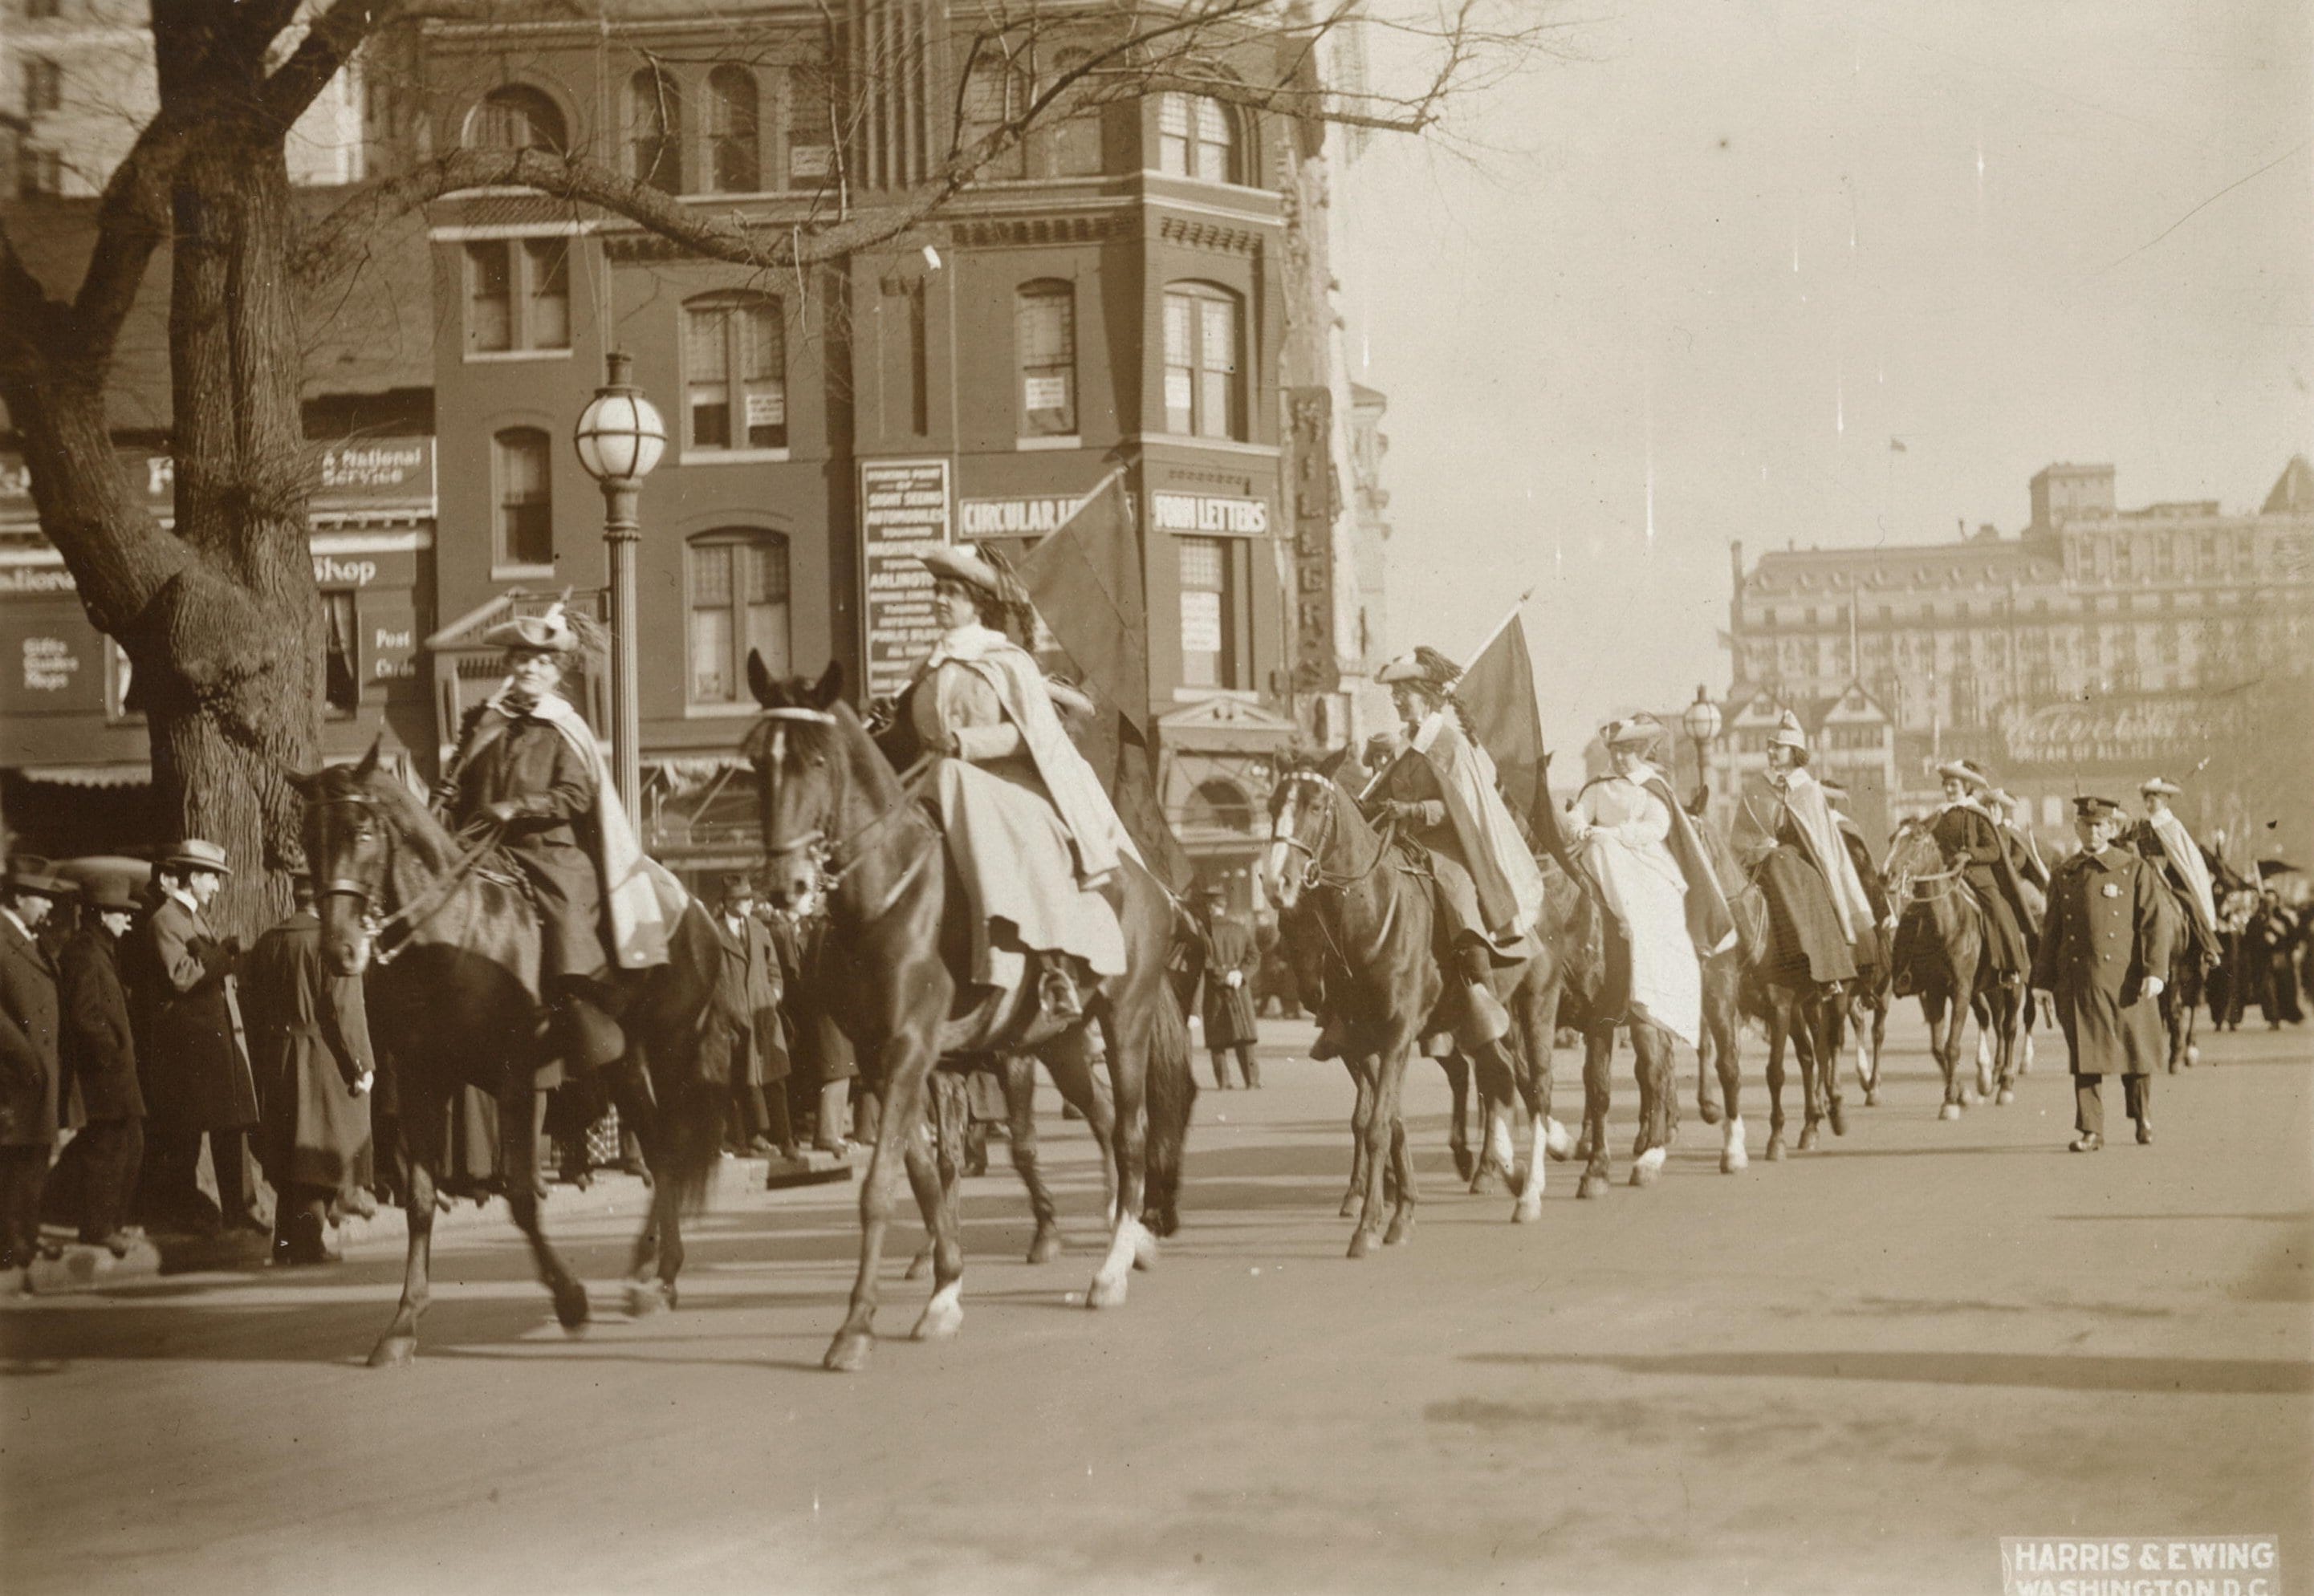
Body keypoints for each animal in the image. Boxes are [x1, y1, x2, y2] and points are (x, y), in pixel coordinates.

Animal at [291, 740, 722, 1359]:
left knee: (672, 1146)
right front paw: (403, 1323)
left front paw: (570, 1299)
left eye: (363, 830)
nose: (339, 950)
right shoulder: (421, 1081)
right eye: (308, 836)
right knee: (660, 1150)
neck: (450, 936)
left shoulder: (519, 1079)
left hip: (669, 1049)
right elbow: (421, 1199)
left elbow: (519, 1196)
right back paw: (651, 1274)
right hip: (623, 1061)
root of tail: (696, 905)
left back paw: (658, 1276)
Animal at [745, 656, 1175, 1369]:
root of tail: (1146, 881)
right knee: (1104, 1116)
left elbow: (880, 1186)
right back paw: (1131, 1235)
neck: (889, 897)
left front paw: (854, 1326)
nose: (787, 886)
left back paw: (1110, 1269)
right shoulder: (886, 1058)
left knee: (1131, 1133)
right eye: (756, 760)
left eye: (815, 759)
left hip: (1125, 1022)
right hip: (1057, 1042)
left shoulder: (911, 1047)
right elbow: (922, 1174)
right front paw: (944, 1290)